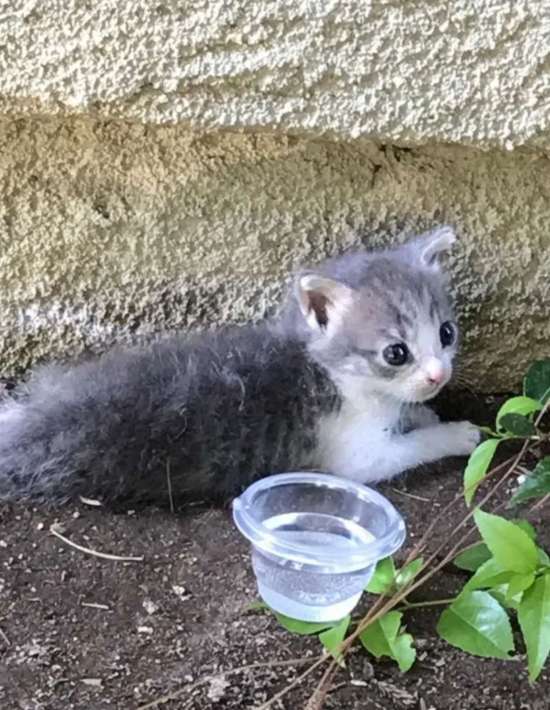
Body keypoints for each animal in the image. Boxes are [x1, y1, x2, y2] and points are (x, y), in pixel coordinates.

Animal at [0, 225, 484, 508]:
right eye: (395, 353)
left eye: (446, 333)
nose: (438, 375)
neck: (335, 376)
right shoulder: (356, 457)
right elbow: (410, 448)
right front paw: (457, 433)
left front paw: (424, 413)